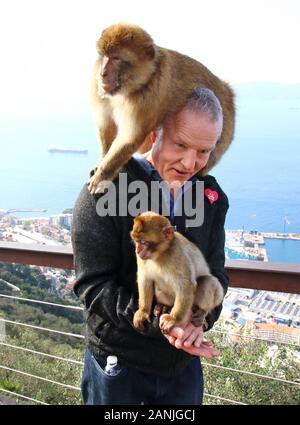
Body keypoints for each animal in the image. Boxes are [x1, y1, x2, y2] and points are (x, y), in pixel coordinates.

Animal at [87, 22, 234, 193]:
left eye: (116, 58)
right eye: (104, 56)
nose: (102, 73)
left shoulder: (148, 99)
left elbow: (131, 137)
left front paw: (102, 176)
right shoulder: (98, 88)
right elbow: (106, 124)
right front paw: (102, 160)